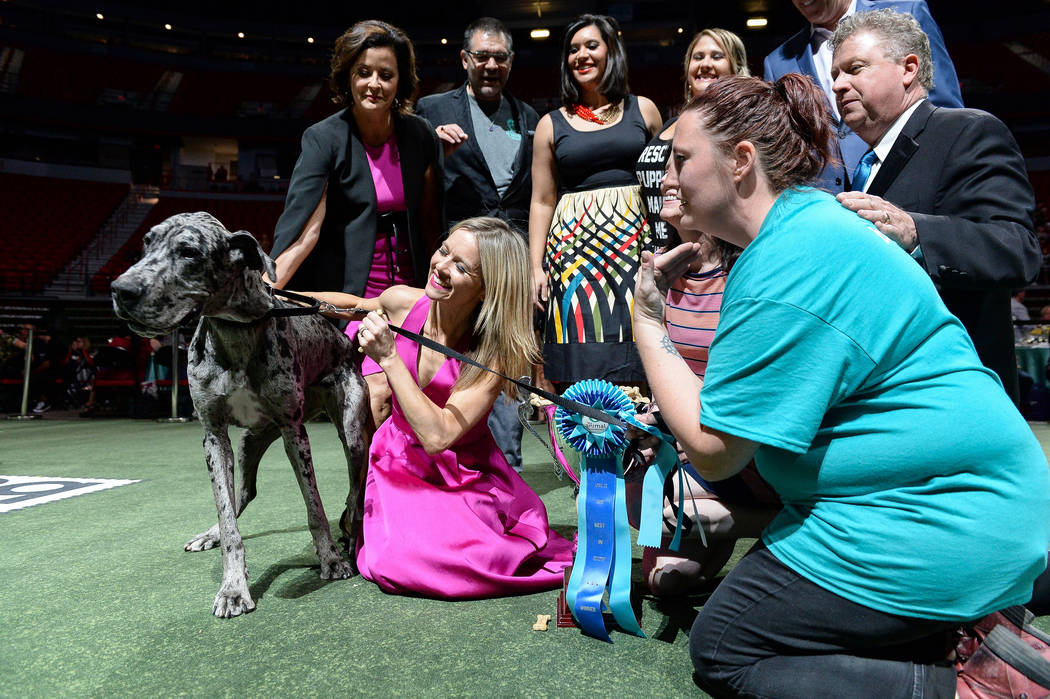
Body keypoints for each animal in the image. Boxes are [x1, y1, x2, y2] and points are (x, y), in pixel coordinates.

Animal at [110, 210, 371, 617]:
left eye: (188, 252)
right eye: (146, 243)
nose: (121, 290)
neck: (235, 331)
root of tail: (343, 338)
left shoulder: (295, 433)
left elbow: (314, 506)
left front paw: (330, 558)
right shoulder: (214, 437)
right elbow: (227, 511)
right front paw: (233, 587)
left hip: (350, 431)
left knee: (355, 489)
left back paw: (353, 534)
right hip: (251, 440)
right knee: (243, 492)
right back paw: (211, 534)